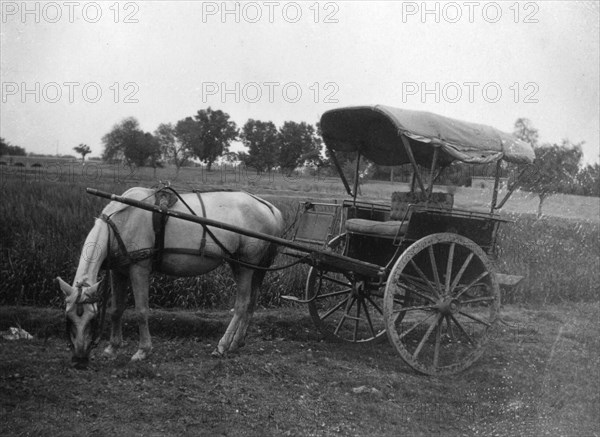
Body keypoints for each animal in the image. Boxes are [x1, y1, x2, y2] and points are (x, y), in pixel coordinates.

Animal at [57, 187, 282, 368]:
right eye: (68, 317)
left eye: (92, 319)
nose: (78, 361)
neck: (121, 222)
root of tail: (269, 206)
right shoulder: (118, 271)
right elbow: (116, 310)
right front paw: (112, 348)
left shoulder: (139, 268)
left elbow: (141, 310)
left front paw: (143, 351)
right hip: (246, 266)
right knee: (251, 303)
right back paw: (236, 343)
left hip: (245, 265)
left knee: (242, 305)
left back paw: (222, 346)